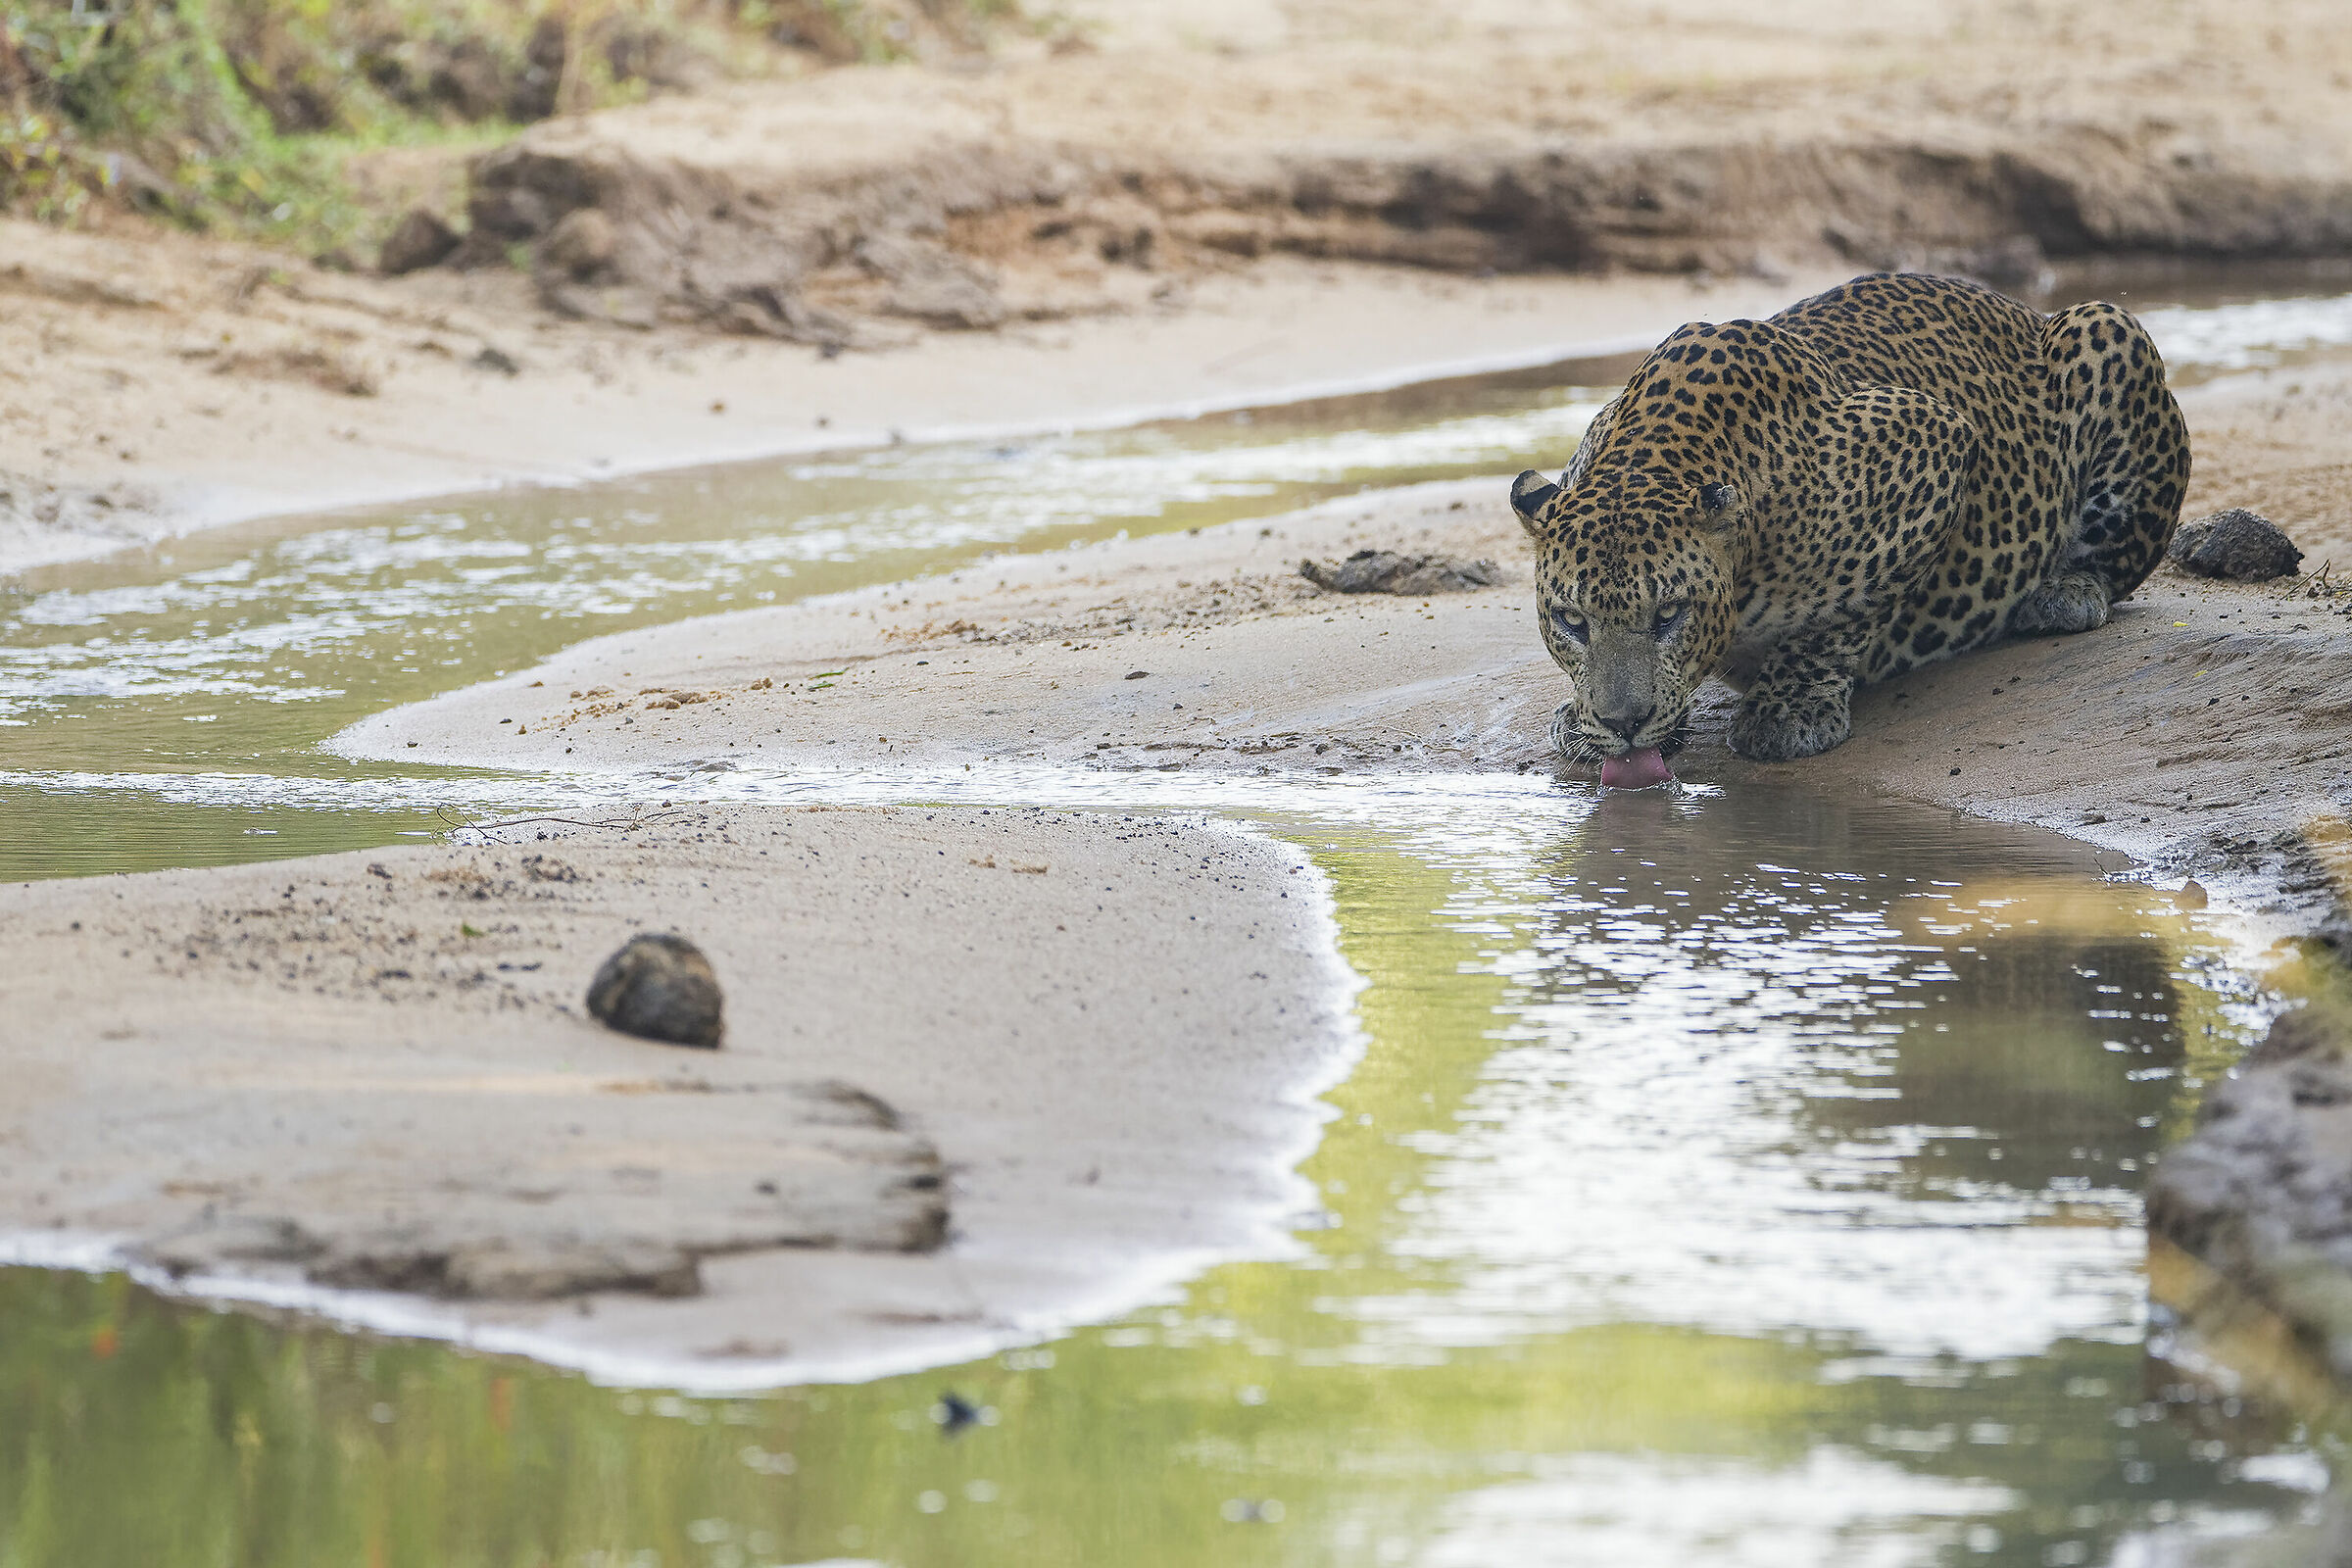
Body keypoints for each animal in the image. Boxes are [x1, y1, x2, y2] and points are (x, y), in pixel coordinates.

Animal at [1508, 271, 2191, 781]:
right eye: (1572, 621)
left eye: (1669, 615)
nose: (1621, 723)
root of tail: (2024, 310)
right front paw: (1585, 722)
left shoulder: (1936, 440)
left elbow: (1843, 612)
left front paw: (1789, 709)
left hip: (2109, 328)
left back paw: (2065, 592)